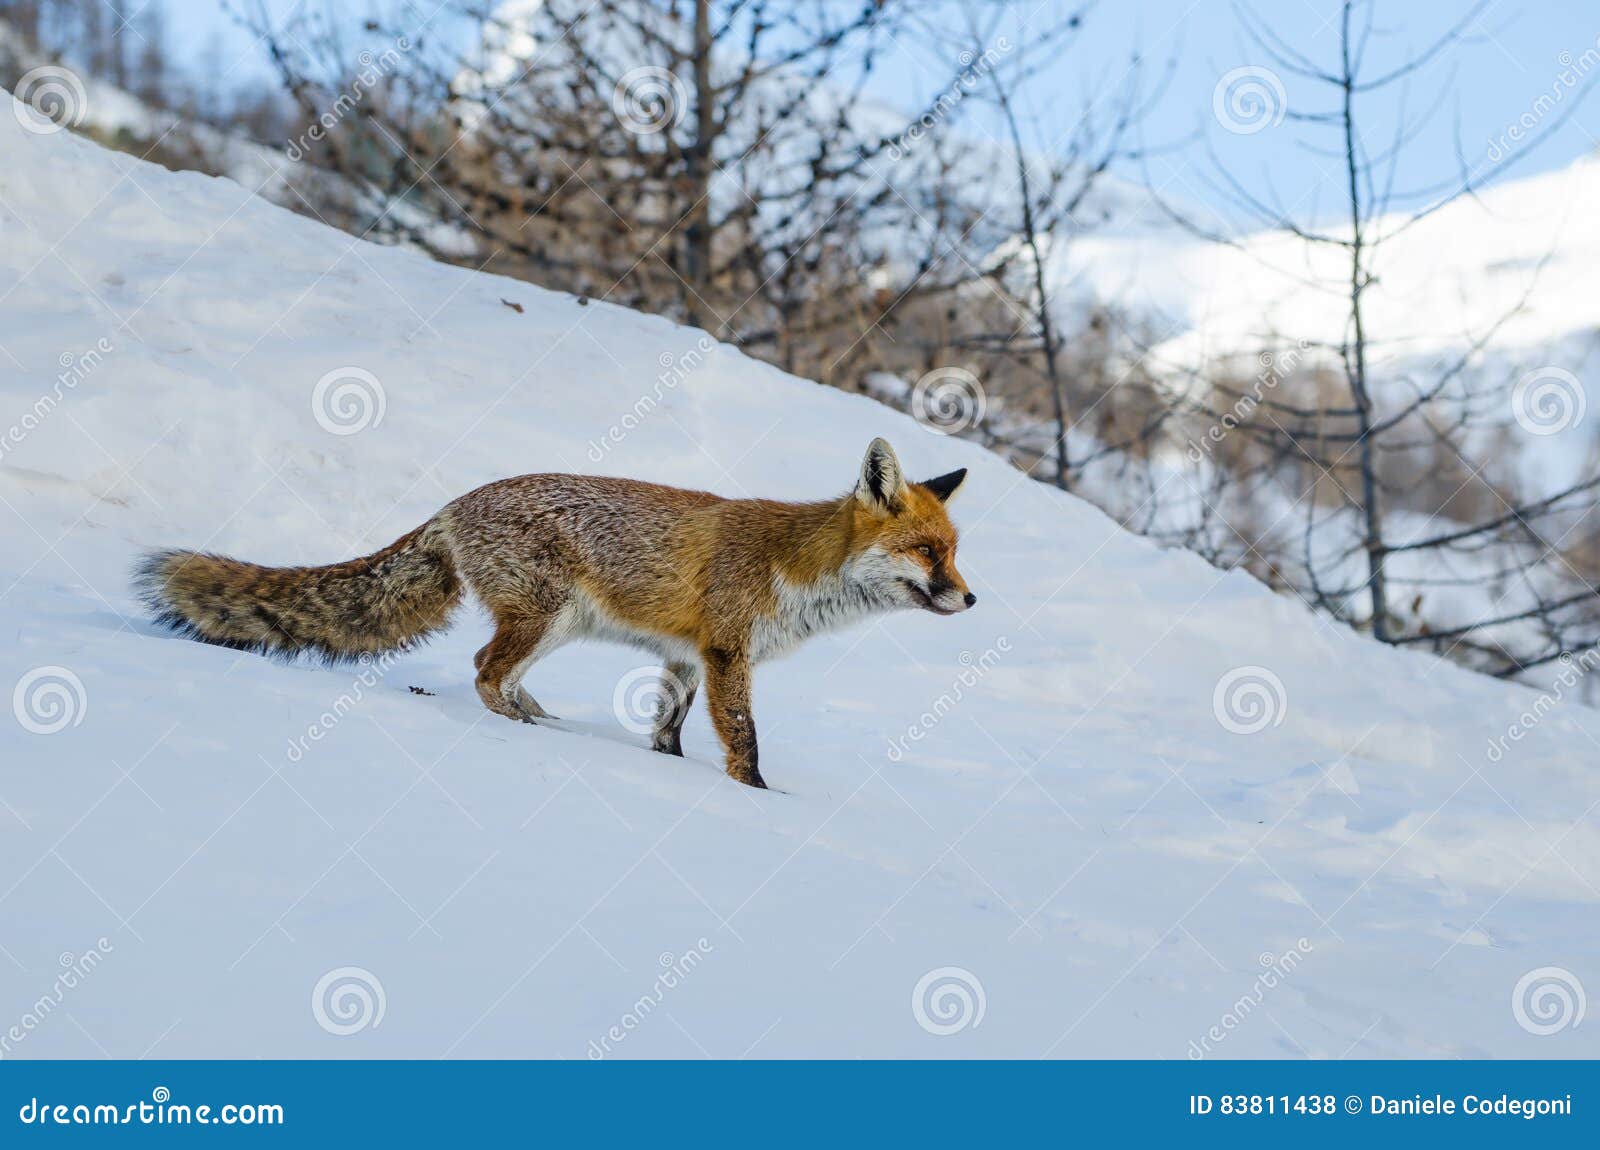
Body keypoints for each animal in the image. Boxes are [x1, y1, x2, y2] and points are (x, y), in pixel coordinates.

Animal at [134, 435, 972, 786]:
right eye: (929, 551)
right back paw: (519, 727)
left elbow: (667, 732)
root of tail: (454, 503)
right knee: (482, 670)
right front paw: (756, 798)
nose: (971, 597)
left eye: (954, 550)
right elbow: (745, 740)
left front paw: (669, 771)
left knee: (499, 674)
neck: (797, 569)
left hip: (555, 622)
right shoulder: (728, 651)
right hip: (550, 613)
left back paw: (540, 717)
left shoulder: (683, 657)